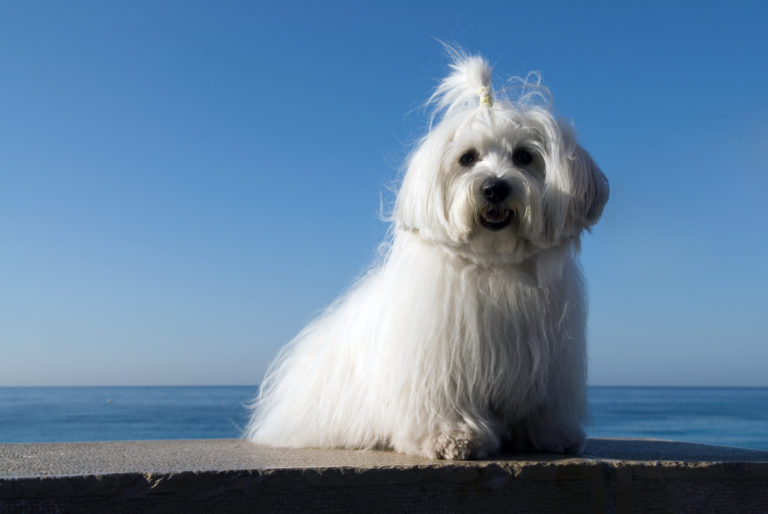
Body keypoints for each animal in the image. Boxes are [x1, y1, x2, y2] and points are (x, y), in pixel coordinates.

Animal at [246, 52, 608, 458]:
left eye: (524, 156)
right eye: (467, 158)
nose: (494, 187)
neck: (494, 265)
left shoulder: (549, 364)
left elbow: (542, 406)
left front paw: (552, 434)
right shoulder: (439, 363)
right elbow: (443, 402)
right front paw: (452, 437)